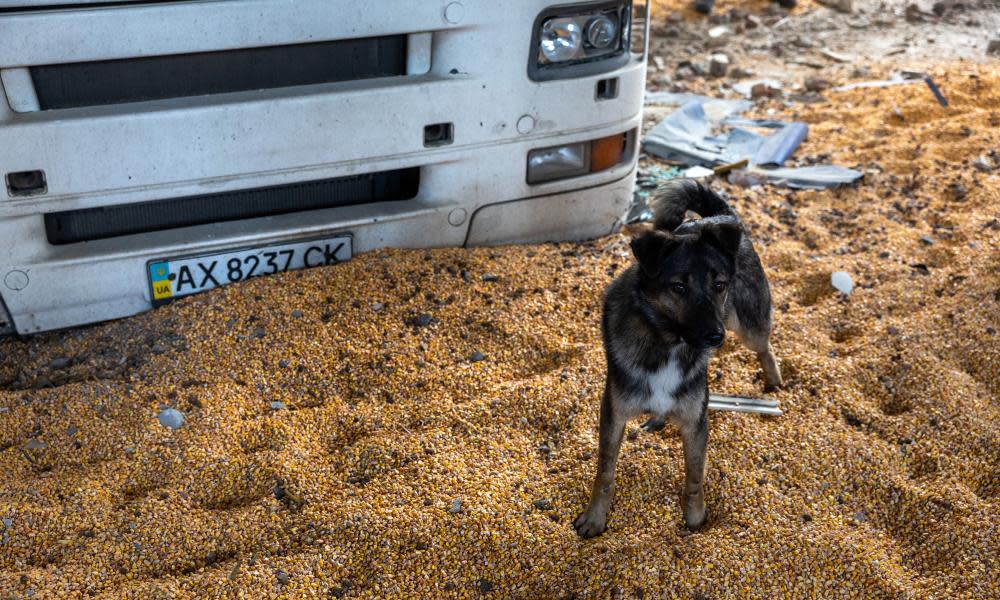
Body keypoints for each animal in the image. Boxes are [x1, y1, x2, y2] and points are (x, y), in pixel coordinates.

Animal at [572, 180, 780, 536]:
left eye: (719, 285)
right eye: (678, 287)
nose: (716, 337)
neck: (669, 341)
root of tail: (718, 215)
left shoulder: (696, 421)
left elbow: (695, 476)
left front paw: (695, 519)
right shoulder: (613, 413)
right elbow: (605, 472)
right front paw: (595, 519)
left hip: (749, 325)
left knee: (765, 347)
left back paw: (775, 383)